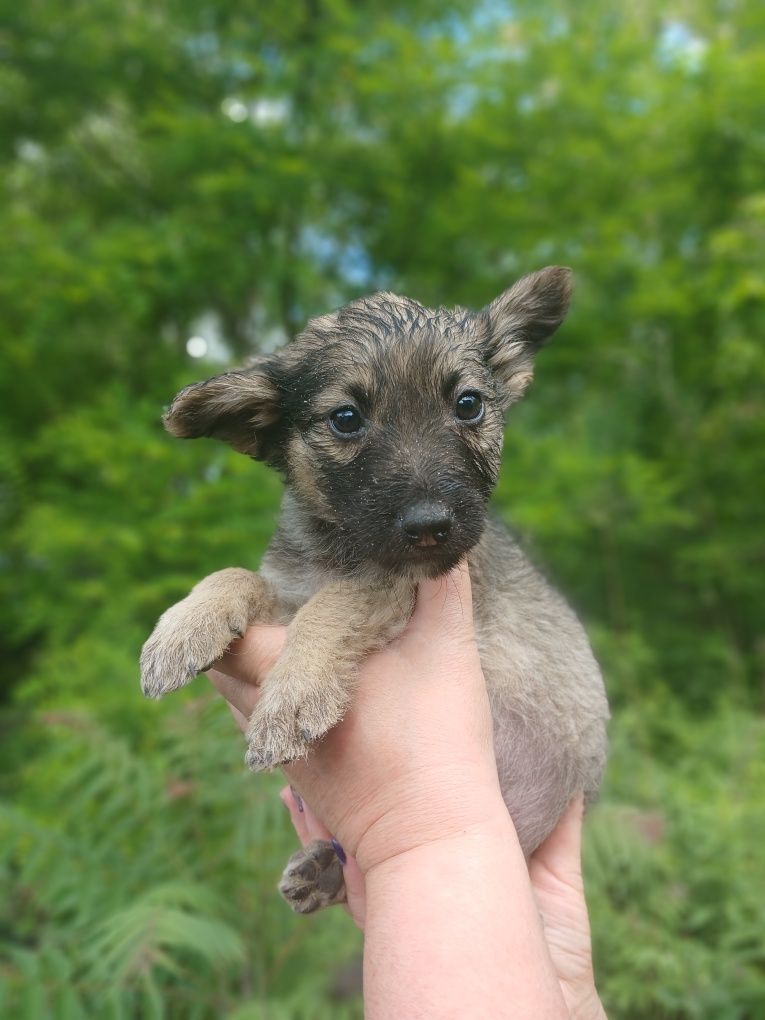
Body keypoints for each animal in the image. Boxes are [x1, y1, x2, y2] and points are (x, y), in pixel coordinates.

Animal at [142, 267, 612, 913]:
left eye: (468, 405)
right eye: (346, 419)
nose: (430, 525)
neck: (335, 549)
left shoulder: (397, 584)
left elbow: (334, 603)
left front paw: (292, 697)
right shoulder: (288, 589)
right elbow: (237, 576)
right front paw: (184, 627)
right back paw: (322, 870)